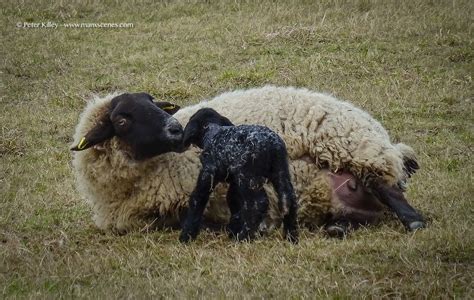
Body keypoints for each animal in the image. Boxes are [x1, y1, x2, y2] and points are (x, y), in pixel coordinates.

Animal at [180, 108, 298, 244]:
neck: (213, 132)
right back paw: (291, 238)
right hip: (280, 170)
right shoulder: (235, 181)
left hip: (248, 176)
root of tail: (273, 145)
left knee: (258, 203)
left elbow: (198, 198)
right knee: (289, 197)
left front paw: (186, 235)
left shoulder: (208, 172)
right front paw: (233, 230)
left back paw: (243, 237)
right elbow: (233, 201)